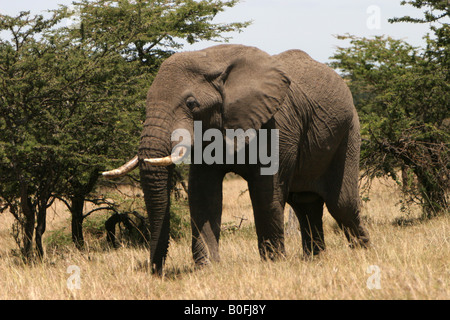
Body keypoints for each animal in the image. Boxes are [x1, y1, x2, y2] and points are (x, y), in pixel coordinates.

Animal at [103, 44, 370, 276]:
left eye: (191, 103)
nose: (155, 272)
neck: (213, 59)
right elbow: (203, 193)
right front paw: (207, 268)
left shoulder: (277, 123)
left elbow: (266, 193)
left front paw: (273, 265)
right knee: (305, 203)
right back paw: (315, 260)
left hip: (349, 131)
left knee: (341, 204)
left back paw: (362, 254)